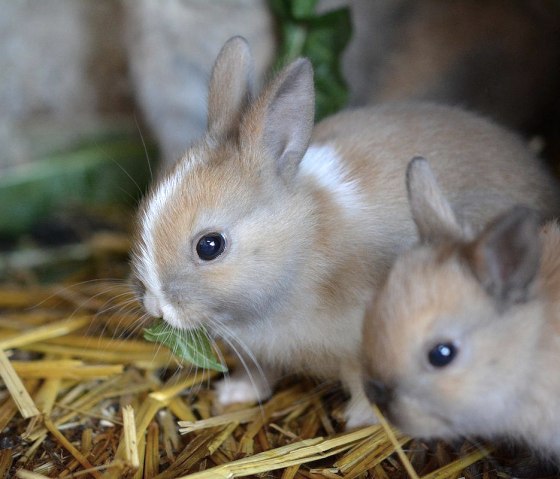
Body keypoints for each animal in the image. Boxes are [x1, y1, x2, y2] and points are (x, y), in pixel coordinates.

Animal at [131, 36, 560, 428]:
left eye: (210, 245)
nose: (155, 305)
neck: (302, 247)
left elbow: (359, 383)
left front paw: (355, 419)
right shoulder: (260, 351)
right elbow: (260, 374)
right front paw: (234, 393)